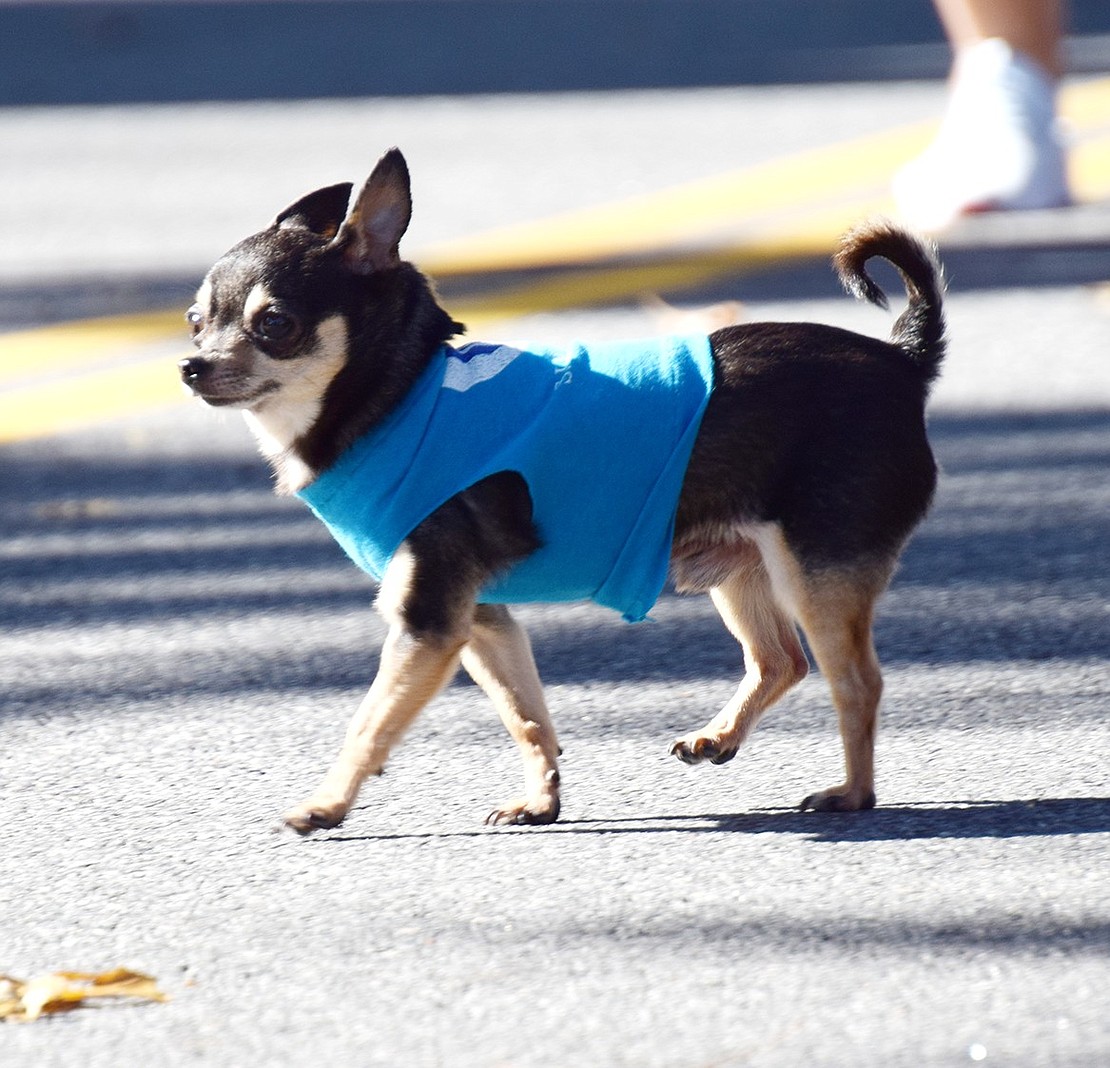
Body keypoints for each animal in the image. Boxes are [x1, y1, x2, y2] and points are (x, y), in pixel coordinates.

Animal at [182, 147, 945, 834]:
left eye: (274, 324)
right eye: (196, 321)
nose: (190, 366)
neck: (399, 399)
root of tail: (901, 361)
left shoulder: (428, 622)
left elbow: (370, 724)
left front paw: (325, 805)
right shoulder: (480, 619)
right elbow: (526, 716)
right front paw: (541, 801)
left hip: (814, 574)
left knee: (857, 682)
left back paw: (853, 793)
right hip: (742, 567)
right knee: (780, 660)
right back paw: (719, 737)